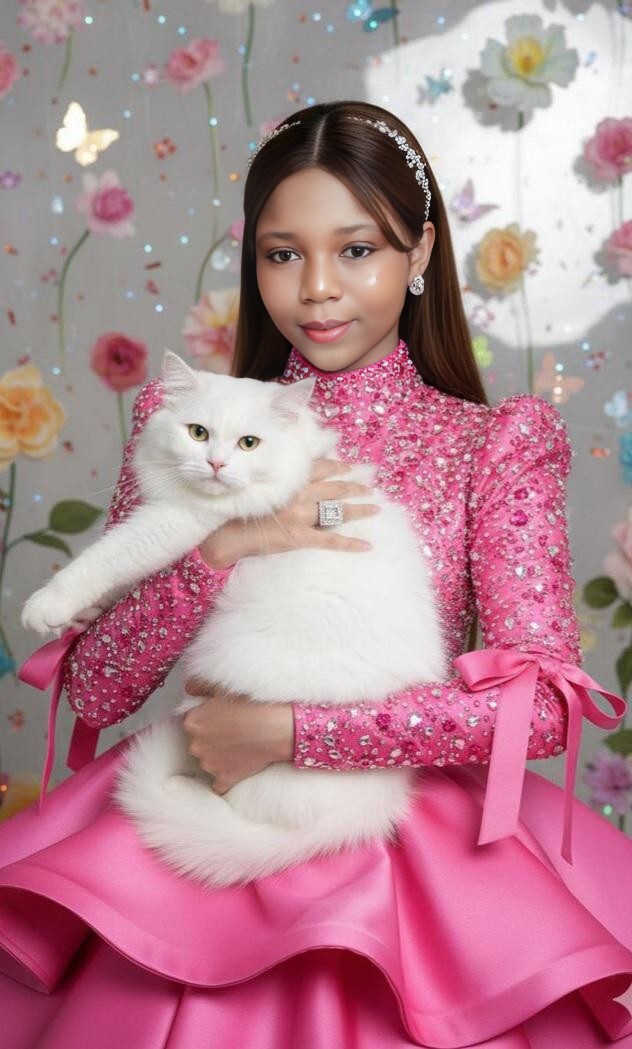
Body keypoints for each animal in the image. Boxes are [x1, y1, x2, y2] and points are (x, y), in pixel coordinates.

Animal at [22, 350, 447, 887]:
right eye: (198, 433)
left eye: (249, 443)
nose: (216, 463)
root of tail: (372, 807)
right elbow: (122, 584)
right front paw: (83, 615)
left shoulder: (175, 523)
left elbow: (108, 558)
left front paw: (48, 605)